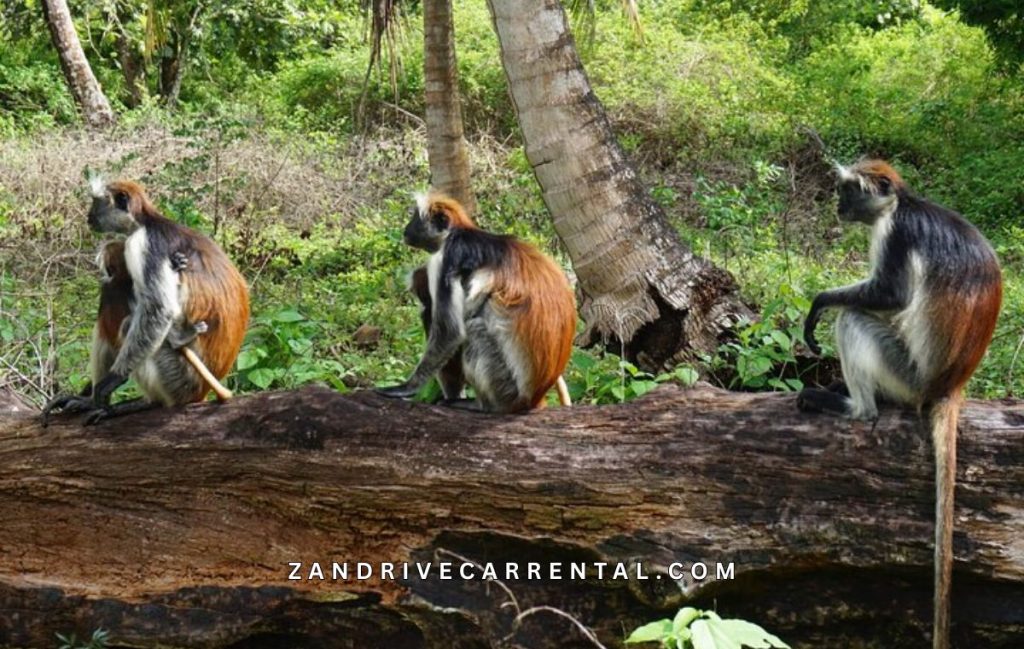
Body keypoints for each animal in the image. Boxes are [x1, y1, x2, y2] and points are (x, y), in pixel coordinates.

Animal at [43, 179, 250, 425]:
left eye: (96, 203)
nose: (88, 216)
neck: (148, 221)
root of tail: (202, 391)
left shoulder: (142, 245)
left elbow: (159, 310)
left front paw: (113, 380)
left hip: (178, 379)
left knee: (126, 318)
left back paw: (147, 402)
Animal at [378, 192, 576, 413]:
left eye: (414, 218)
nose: (405, 229)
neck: (461, 232)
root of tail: (533, 398)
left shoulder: (447, 257)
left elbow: (450, 332)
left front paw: (406, 388)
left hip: (505, 388)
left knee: (470, 329)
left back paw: (480, 404)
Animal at [798, 159, 1002, 649]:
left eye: (848, 192)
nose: (836, 205)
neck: (903, 204)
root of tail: (948, 386)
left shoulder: (895, 233)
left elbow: (890, 296)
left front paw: (820, 303)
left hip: (906, 374)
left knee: (855, 318)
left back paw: (856, 408)